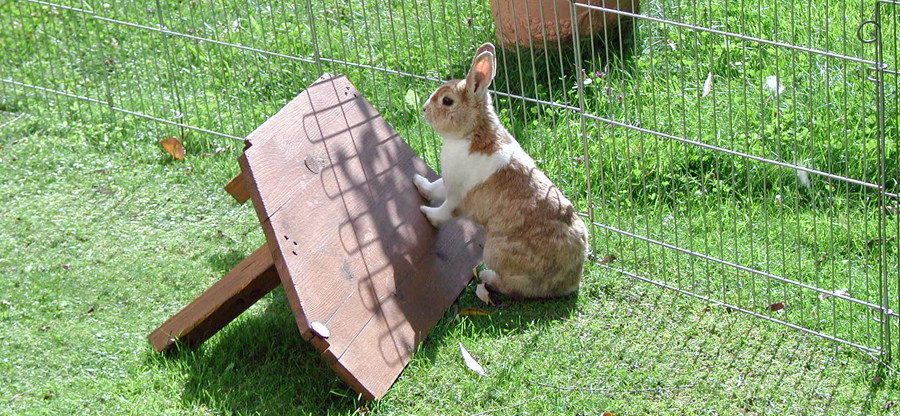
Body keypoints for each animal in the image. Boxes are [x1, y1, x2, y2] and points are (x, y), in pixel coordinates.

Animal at [414, 43, 592, 300]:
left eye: (447, 101)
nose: (425, 109)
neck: (473, 133)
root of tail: (569, 281)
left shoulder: (457, 194)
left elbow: (445, 212)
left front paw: (426, 213)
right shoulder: (447, 182)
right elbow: (433, 188)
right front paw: (417, 181)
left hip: (494, 251)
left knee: (512, 286)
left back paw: (487, 276)